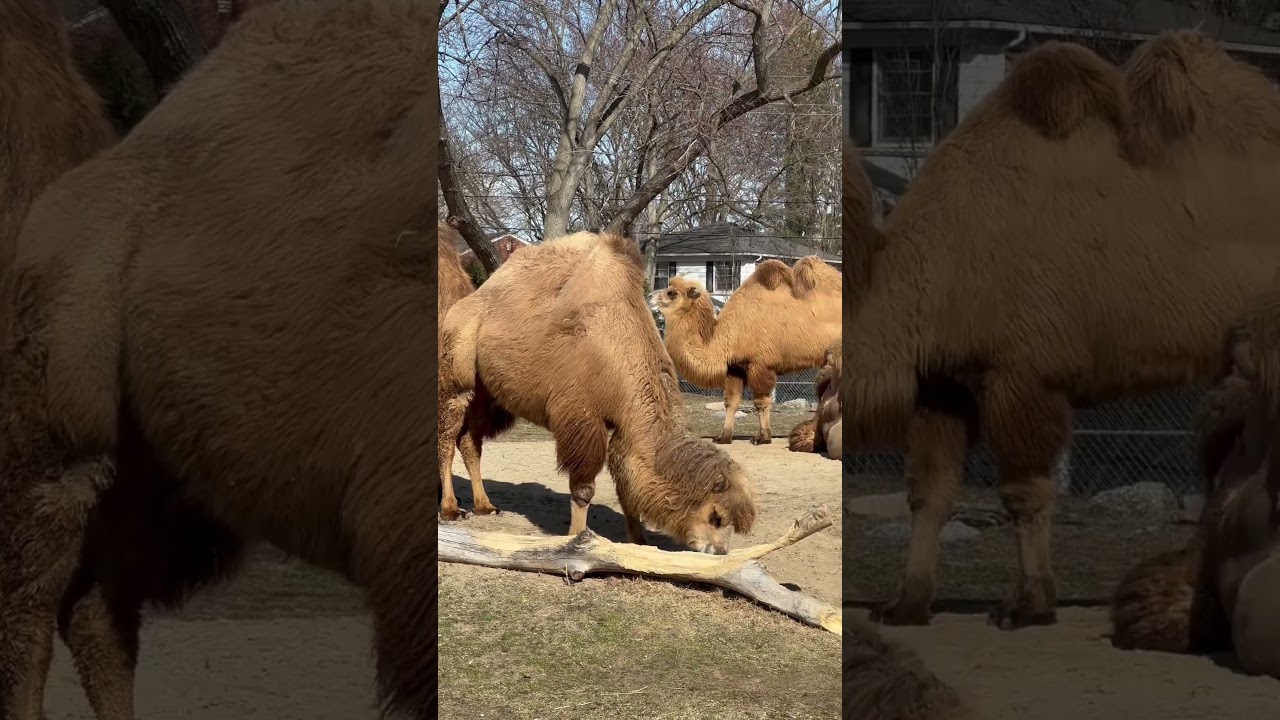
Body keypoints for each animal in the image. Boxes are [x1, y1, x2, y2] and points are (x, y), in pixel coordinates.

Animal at [438, 230, 757, 553]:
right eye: (716, 516)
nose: (719, 551)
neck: (616, 350)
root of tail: (469, 299)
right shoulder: (582, 418)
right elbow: (583, 489)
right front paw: (576, 539)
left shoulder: (624, 427)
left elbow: (627, 487)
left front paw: (638, 540)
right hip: (456, 377)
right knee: (447, 438)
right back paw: (451, 509)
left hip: (486, 392)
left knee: (470, 441)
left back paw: (485, 506)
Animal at [650, 257, 841, 445]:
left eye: (672, 293)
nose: (650, 296)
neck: (728, 334)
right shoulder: (735, 368)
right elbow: (731, 402)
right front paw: (724, 437)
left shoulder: (759, 365)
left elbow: (761, 402)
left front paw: (762, 437)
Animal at [843, 31, 1280, 630]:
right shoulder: (944, 386)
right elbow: (929, 493)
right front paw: (907, 603)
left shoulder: (1022, 375)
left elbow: (1024, 494)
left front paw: (1028, 604)